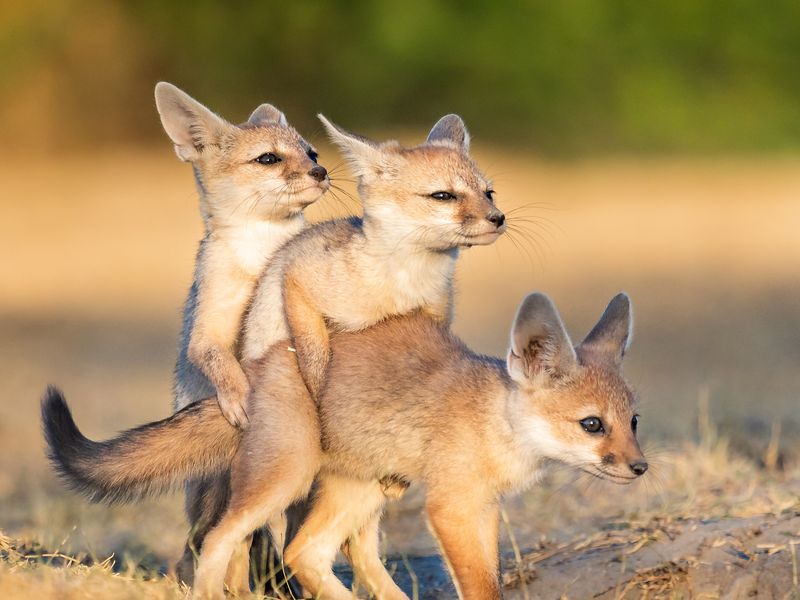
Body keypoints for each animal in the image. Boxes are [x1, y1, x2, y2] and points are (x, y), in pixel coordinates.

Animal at [42, 292, 646, 600]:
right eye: (593, 425)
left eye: (633, 421)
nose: (640, 467)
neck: (492, 421)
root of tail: (256, 364)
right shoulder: (451, 506)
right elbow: (480, 585)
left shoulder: (484, 507)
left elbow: (490, 578)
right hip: (285, 480)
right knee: (222, 541)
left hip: (363, 490)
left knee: (306, 554)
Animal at [153, 81, 329, 588]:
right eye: (268, 158)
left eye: (310, 151)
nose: (321, 171)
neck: (259, 254)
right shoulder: (207, 331)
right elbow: (220, 362)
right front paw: (239, 397)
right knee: (215, 542)